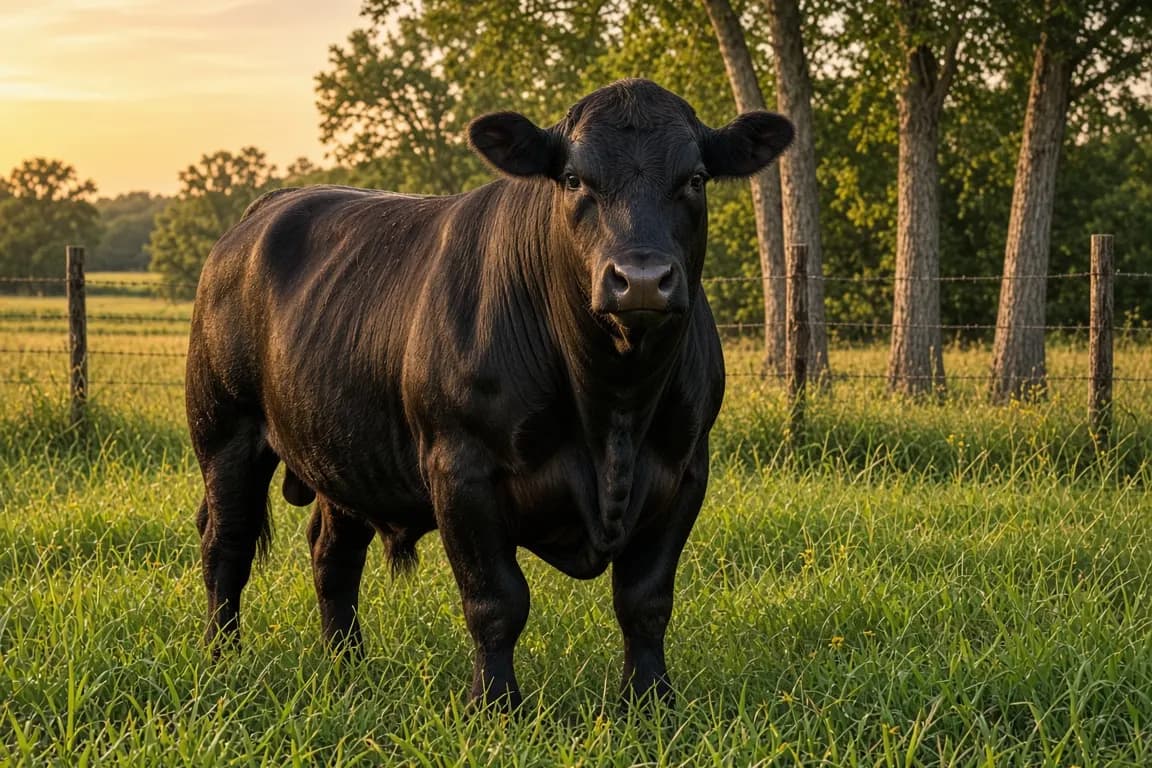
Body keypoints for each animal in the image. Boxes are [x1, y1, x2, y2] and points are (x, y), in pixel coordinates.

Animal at [187, 78, 792, 708]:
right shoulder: (461, 469)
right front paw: (496, 704)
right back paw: (223, 659)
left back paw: (348, 665)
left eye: (695, 178)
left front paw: (649, 701)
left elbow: (645, 600)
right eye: (573, 178)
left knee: (333, 553)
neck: (613, 410)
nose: (642, 279)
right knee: (226, 543)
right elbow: (497, 600)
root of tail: (267, 208)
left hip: (340, 450)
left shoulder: (684, 469)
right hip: (223, 430)